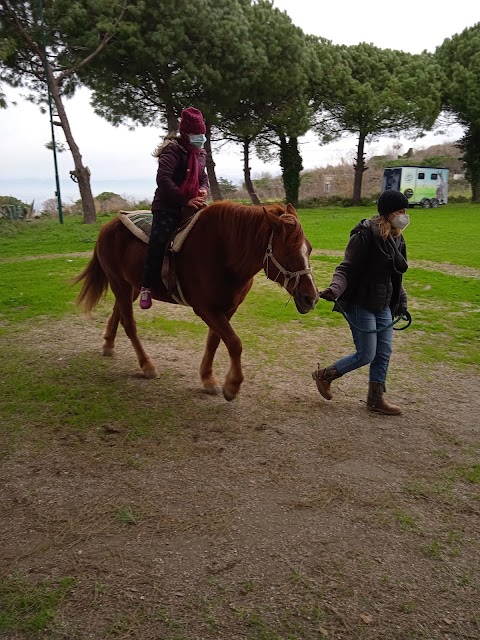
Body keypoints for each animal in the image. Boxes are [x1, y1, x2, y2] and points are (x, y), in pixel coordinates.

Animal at [74, 201, 318, 400]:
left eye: (309, 249)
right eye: (287, 252)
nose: (311, 297)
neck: (223, 251)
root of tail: (108, 226)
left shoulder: (227, 308)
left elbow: (215, 341)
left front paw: (208, 378)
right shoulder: (205, 308)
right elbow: (234, 343)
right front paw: (232, 385)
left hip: (131, 287)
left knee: (118, 311)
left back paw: (108, 344)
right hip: (119, 283)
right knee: (129, 323)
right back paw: (147, 365)